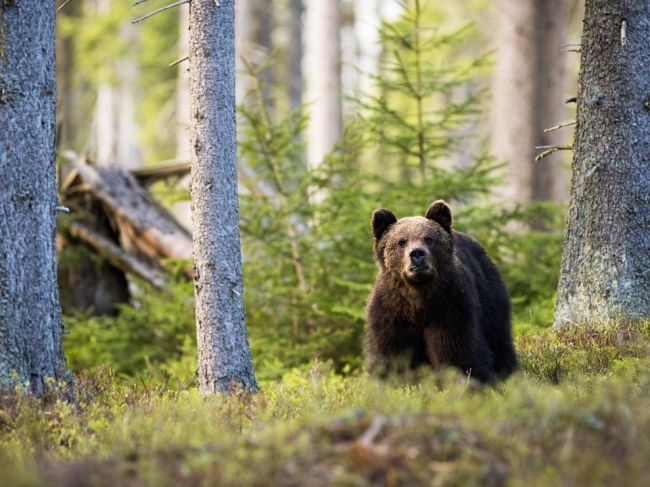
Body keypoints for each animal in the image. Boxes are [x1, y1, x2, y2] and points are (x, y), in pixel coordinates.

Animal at [364, 200, 516, 384]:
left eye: (429, 239)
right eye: (401, 242)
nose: (417, 253)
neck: (418, 298)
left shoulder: (448, 307)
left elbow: (455, 347)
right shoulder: (392, 311)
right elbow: (391, 352)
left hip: (489, 294)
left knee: (499, 337)